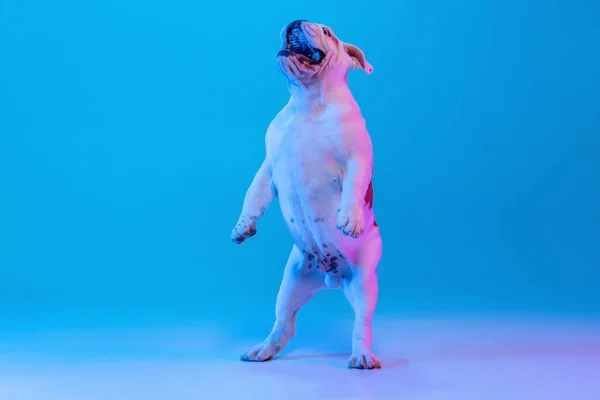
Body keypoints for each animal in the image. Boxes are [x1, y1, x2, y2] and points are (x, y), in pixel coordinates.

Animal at [230, 18, 380, 368]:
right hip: (292, 281)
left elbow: (354, 186)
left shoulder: (357, 158)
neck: (307, 103)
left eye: (327, 32)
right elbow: (252, 193)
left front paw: (350, 218)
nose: (296, 21)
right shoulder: (269, 165)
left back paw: (362, 354)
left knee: (361, 322)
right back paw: (263, 349)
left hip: (366, 280)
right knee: (285, 322)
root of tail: (333, 276)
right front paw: (243, 225)